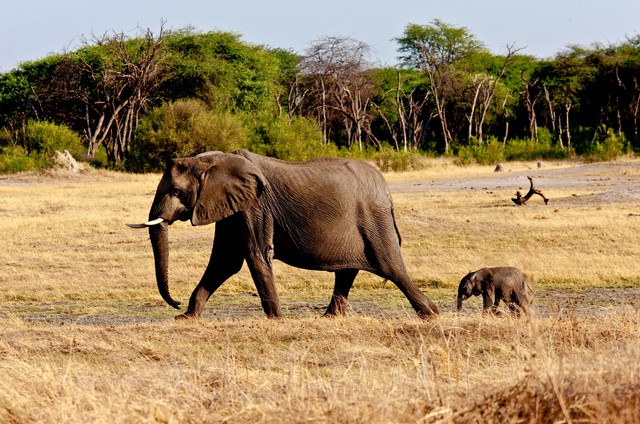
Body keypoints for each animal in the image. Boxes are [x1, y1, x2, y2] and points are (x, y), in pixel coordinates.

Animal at [127, 149, 439, 320]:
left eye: (176, 191)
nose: (176, 302)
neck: (213, 160)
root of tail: (386, 190)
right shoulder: (231, 207)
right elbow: (224, 261)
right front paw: (185, 318)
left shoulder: (255, 205)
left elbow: (255, 254)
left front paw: (276, 319)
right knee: (348, 271)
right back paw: (328, 317)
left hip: (374, 220)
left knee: (391, 266)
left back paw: (432, 314)